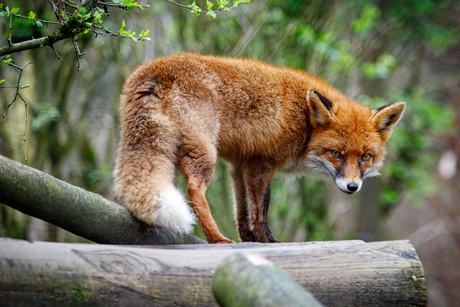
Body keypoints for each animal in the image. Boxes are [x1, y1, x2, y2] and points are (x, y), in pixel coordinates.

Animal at [113, 53, 404, 245]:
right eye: (336, 154)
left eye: (365, 157)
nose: (353, 187)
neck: (303, 121)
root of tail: (154, 69)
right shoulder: (261, 162)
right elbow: (261, 209)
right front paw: (269, 242)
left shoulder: (239, 165)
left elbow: (243, 214)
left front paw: (251, 241)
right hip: (204, 153)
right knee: (195, 190)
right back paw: (217, 239)